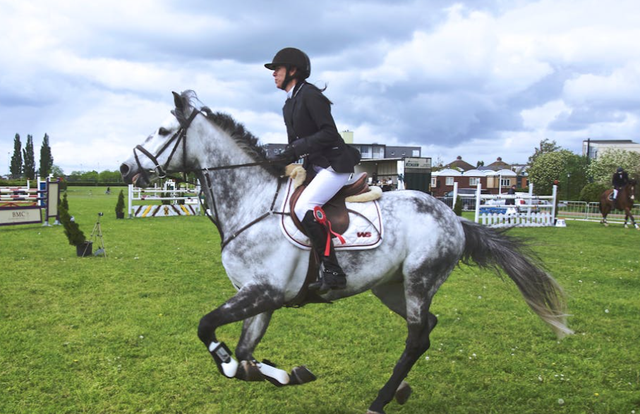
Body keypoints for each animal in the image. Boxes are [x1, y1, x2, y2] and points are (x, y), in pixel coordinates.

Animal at [121, 90, 576, 414]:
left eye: (162, 131)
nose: (126, 169)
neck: (251, 202)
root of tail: (452, 217)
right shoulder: (260, 297)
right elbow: (246, 352)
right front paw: (286, 374)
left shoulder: (263, 292)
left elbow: (209, 331)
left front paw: (241, 365)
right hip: (390, 287)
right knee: (426, 329)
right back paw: (400, 390)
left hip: (419, 280)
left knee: (416, 337)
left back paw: (379, 401)